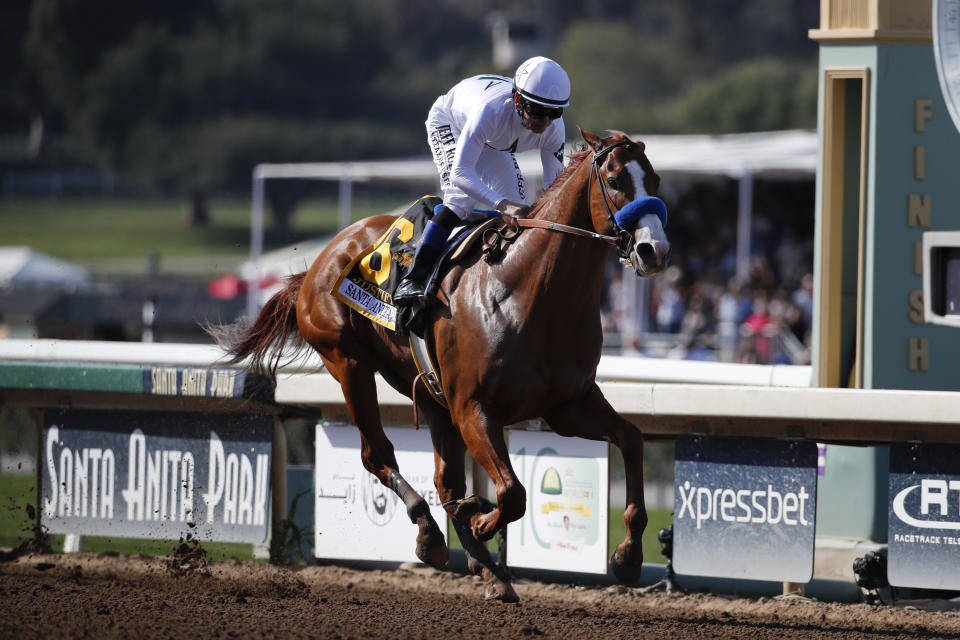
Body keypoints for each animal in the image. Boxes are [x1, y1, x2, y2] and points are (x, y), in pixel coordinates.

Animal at [215, 130, 672, 600]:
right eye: (615, 180)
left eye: (654, 180)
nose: (653, 250)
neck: (527, 292)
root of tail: (315, 264)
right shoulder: (474, 407)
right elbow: (512, 493)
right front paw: (481, 520)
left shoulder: (568, 405)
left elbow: (631, 439)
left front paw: (628, 556)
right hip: (348, 364)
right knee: (377, 454)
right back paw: (433, 536)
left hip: (430, 393)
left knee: (445, 479)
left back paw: (486, 566)